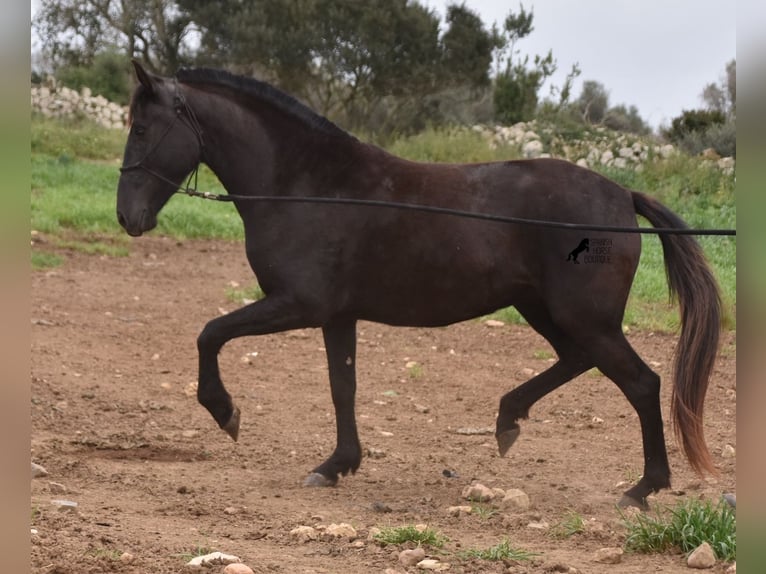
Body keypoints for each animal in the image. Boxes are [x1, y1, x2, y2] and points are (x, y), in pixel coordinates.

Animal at [117, 63, 724, 510]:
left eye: (141, 129)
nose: (128, 217)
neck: (307, 187)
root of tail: (622, 196)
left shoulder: (298, 304)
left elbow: (210, 333)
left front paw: (226, 413)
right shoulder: (336, 316)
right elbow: (343, 387)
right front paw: (337, 465)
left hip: (585, 318)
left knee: (641, 383)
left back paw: (642, 489)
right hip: (543, 309)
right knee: (576, 361)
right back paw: (508, 420)